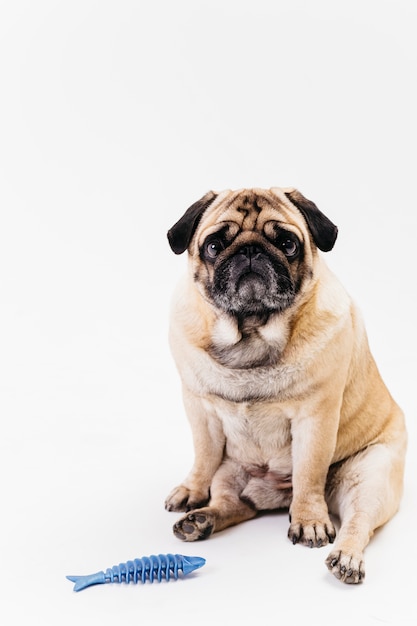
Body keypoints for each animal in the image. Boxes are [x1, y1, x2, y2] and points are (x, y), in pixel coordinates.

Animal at [164, 188, 404, 584]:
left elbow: (308, 471)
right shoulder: (199, 409)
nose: (250, 250)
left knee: (358, 522)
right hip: (231, 472)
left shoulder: (315, 418)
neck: (251, 334)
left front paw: (309, 521)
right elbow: (203, 455)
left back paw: (346, 557)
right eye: (214, 246)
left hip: (370, 476)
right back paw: (201, 520)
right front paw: (192, 491)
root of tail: (271, 497)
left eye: (287, 244)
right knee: (231, 503)